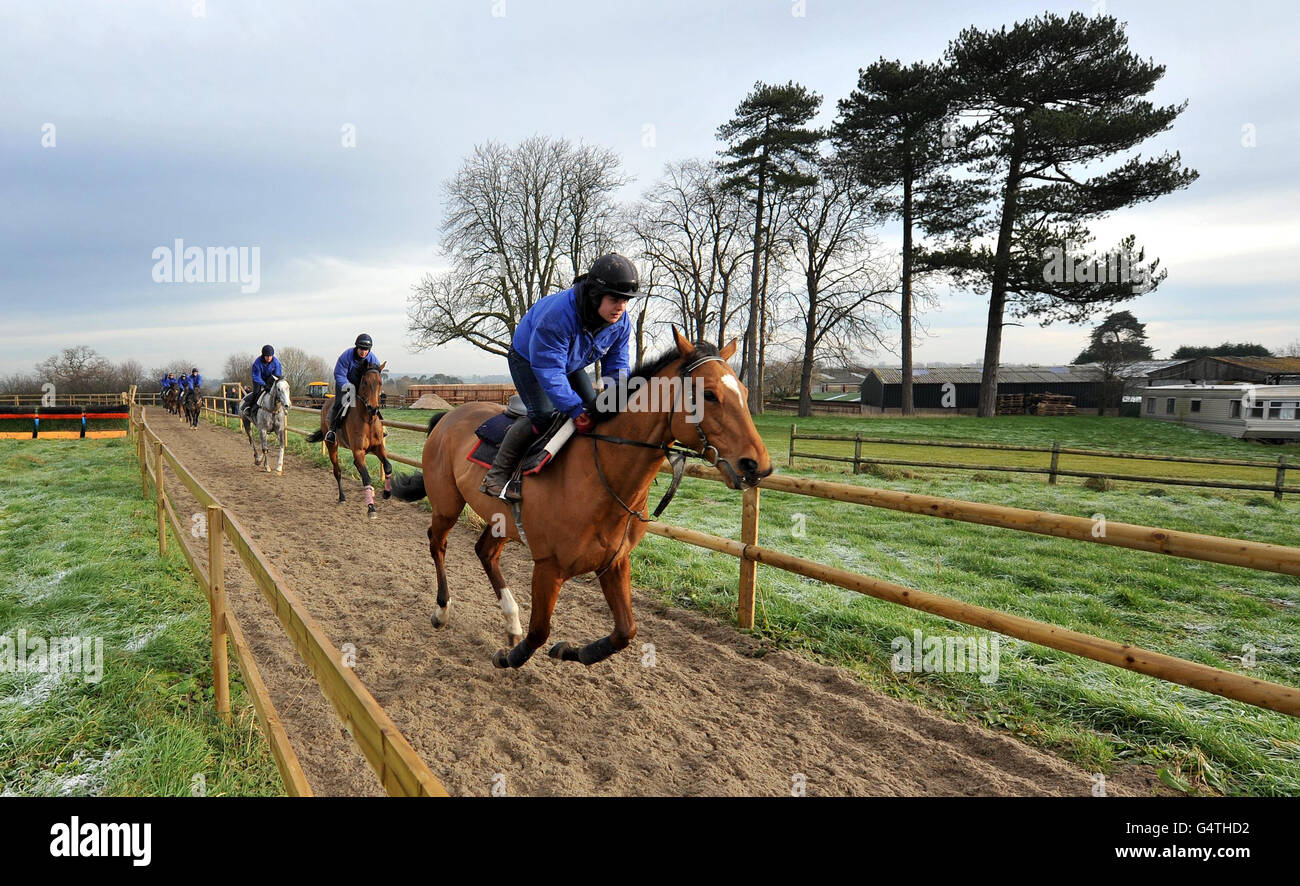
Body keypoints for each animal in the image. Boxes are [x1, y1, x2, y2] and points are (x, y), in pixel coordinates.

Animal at [306, 363, 392, 517]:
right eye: (365, 382)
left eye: (380, 383)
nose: (373, 408)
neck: (367, 419)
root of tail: (325, 403)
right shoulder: (358, 451)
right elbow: (366, 477)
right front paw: (371, 507)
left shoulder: (377, 447)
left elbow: (387, 466)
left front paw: (386, 493)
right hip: (332, 445)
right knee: (337, 471)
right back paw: (342, 497)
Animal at [384, 327, 769, 665]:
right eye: (709, 394)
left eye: (744, 391)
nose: (757, 465)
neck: (602, 476)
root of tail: (448, 417)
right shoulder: (548, 567)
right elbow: (539, 632)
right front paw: (509, 657)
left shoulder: (615, 562)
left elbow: (626, 631)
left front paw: (569, 651)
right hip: (447, 505)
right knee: (437, 542)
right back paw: (442, 609)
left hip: (501, 520)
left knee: (485, 552)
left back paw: (511, 620)